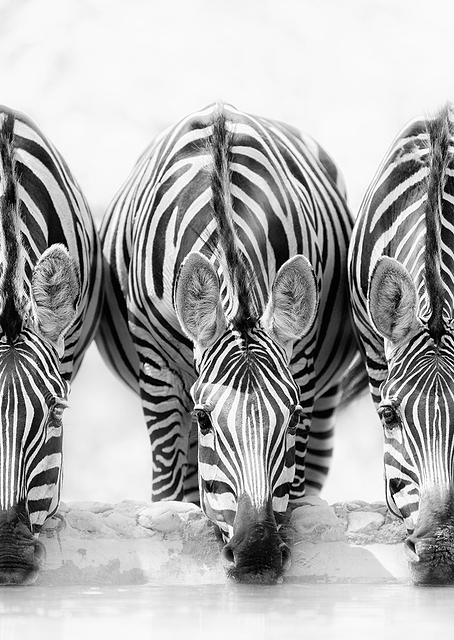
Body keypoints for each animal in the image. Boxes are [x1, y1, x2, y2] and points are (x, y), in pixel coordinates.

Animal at [97, 102, 357, 584]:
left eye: (293, 418)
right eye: (204, 419)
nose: (256, 554)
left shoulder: (304, 368)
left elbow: (294, 487)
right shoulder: (156, 370)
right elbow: (168, 488)